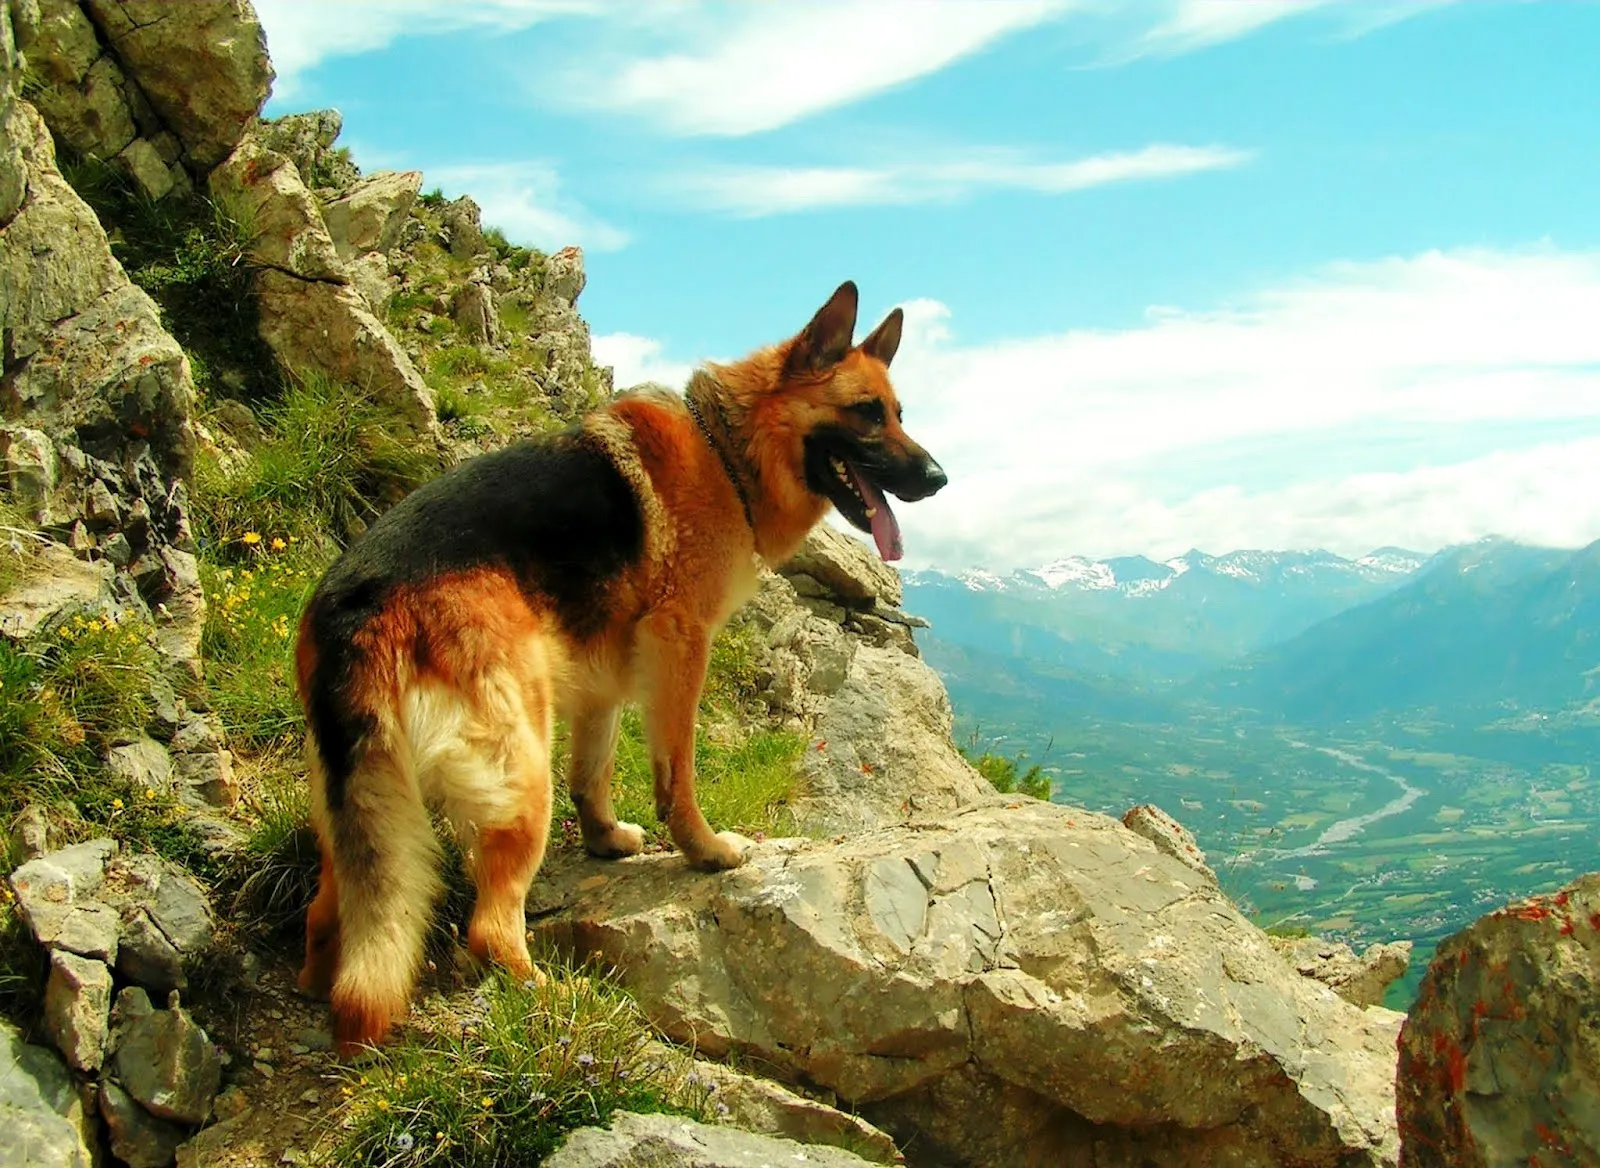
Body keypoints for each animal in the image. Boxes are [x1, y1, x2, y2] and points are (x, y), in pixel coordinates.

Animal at [294, 280, 940, 1049]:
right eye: (867, 412)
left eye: (899, 414)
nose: (939, 477)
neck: (728, 449)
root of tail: (355, 605)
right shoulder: (681, 646)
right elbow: (676, 774)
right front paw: (703, 850)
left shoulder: (603, 677)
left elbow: (594, 771)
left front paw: (604, 839)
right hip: (520, 777)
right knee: (489, 929)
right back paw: (553, 999)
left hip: (368, 809)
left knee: (333, 916)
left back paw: (320, 989)